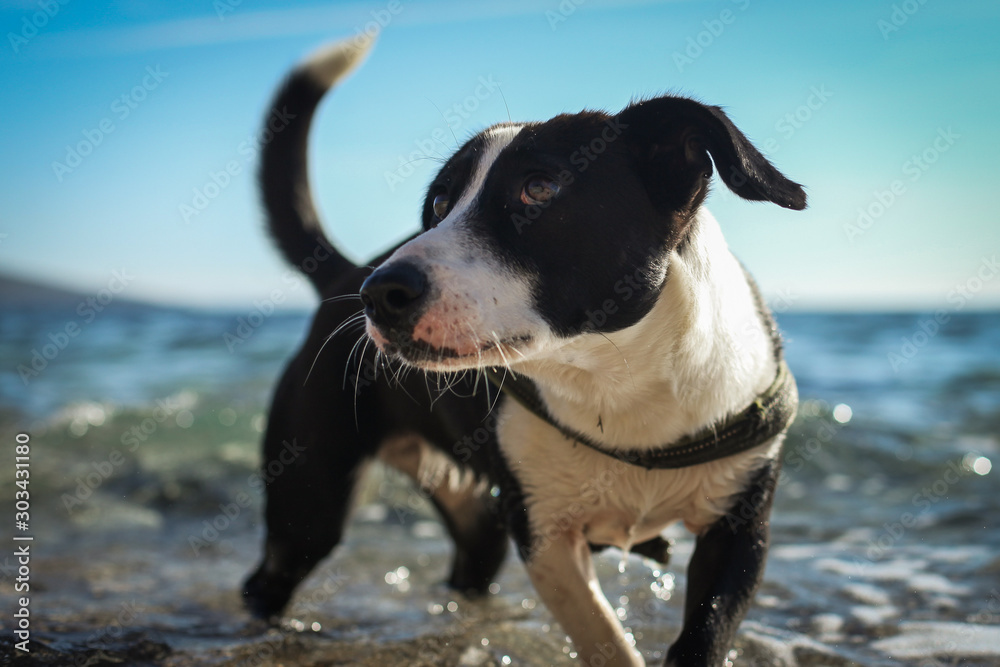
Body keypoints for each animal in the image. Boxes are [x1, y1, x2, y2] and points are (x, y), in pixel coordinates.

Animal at [246, 36, 808, 667]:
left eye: (539, 189)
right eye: (439, 203)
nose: (380, 294)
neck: (618, 381)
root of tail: (345, 271)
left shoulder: (740, 530)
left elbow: (705, 635)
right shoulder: (542, 531)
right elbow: (604, 638)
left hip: (471, 512)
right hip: (308, 502)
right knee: (275, 570)